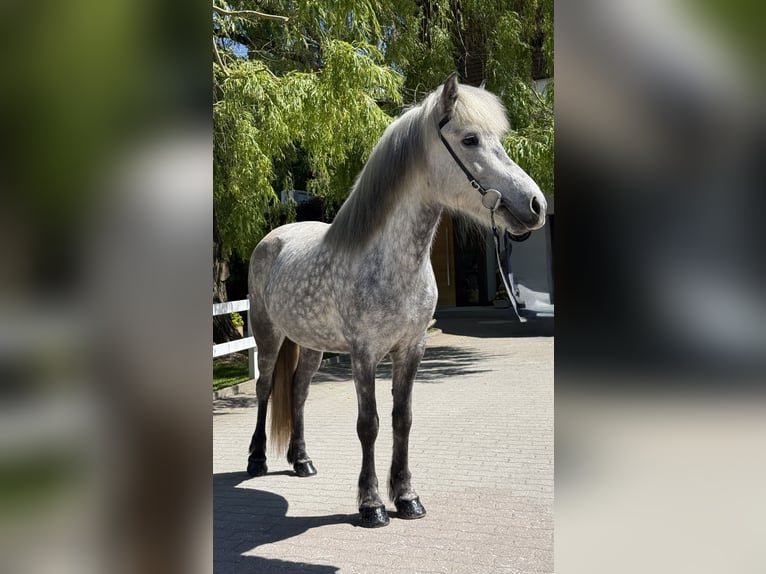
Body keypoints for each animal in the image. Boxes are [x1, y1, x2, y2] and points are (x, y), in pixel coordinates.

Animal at [246, 73, 547, 528]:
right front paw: (371, 504)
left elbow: (402, 420)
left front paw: (406, 498)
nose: (536, 205)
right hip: (268, 333)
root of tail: (273, 237)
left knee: (298, 391)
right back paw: (257, 459)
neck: (392, 261)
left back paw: (302, 461)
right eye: (471, 139)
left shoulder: (412, 349)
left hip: (311, 344)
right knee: (264, 387)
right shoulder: (364, 353)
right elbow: (368, 424)